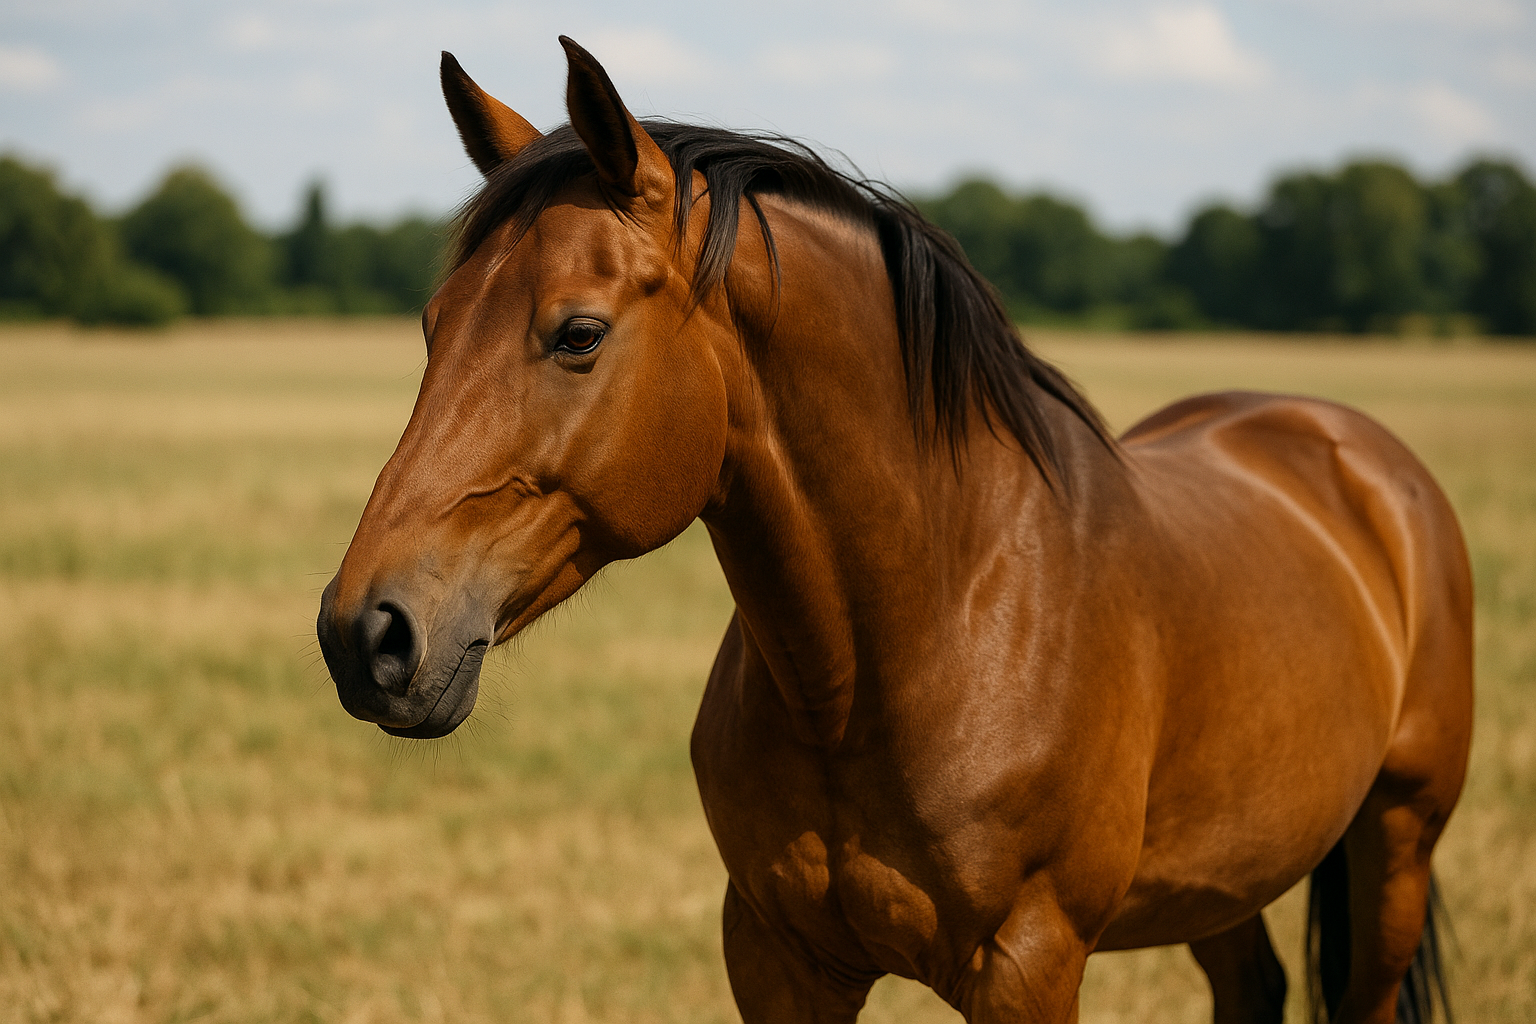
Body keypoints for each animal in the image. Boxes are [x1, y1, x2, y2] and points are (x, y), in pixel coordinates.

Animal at [317, 37, 1472, 1024]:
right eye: (432, 328)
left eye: (578, 334)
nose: (365, 634)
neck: (916, 640)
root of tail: (1349, 448)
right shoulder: (777, 956)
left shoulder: (1028, 965)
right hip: (1222, 877)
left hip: (1397, 842)